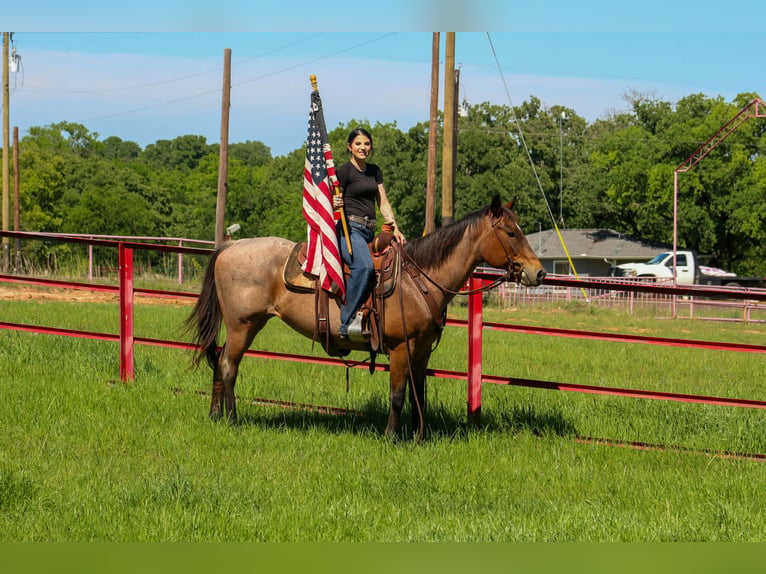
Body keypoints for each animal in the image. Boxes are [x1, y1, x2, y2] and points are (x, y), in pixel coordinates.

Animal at [186, 195, 545, 438]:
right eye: (511, 233)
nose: (539, 272)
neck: (419, 278)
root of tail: (229, 248)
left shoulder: (421, 352)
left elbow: (419, 395)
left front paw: (419, 436)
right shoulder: (401, 348)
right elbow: (398, 395)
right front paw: (391, 437)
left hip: (248, 324)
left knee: (220, 361)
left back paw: (216, 415)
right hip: (242, 325)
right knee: (228, 366)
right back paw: (232, 419)